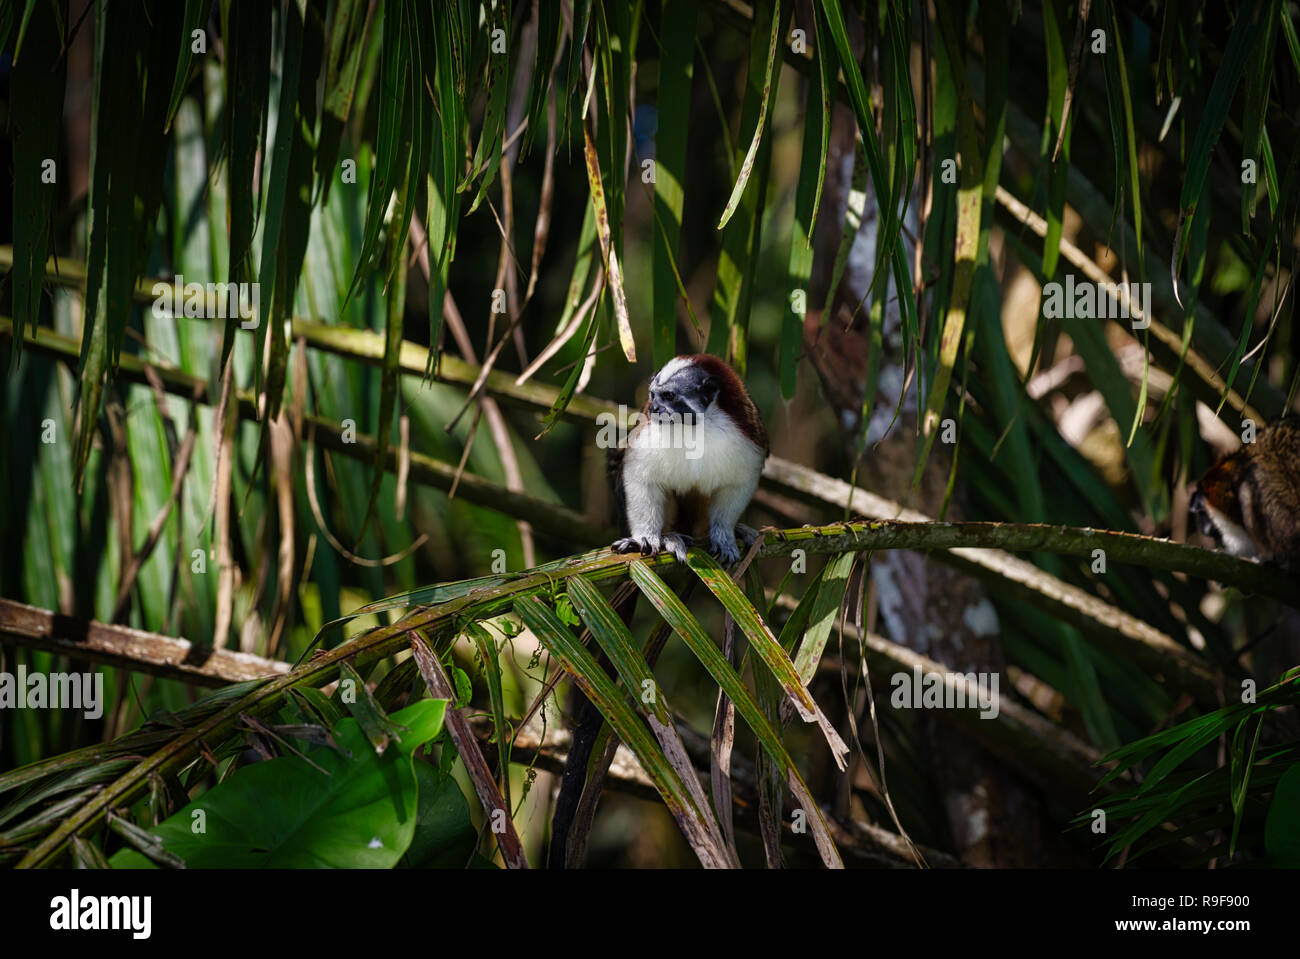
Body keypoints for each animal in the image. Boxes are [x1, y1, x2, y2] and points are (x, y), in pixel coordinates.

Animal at [609, 354, 769, 565]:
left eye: (669, 396)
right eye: (652, 395)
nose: (654, 408)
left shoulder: (749, 438)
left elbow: (738, 484)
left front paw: (724, 534)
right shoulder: (647, 434)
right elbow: (640, 477)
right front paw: (646, 537)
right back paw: (669, 537)